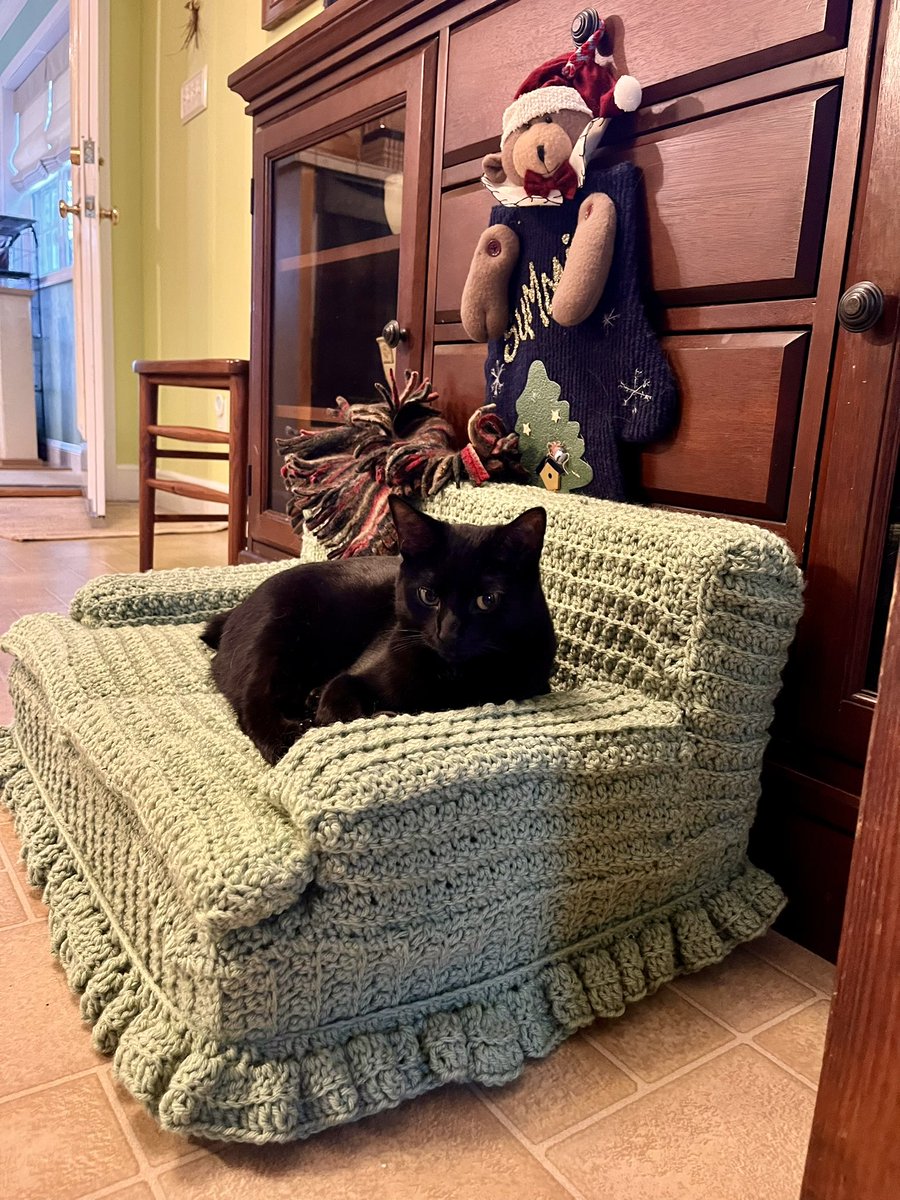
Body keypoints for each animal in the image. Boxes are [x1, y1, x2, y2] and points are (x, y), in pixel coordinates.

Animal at [204, 494, 556, 758]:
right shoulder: (348, 680)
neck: (451, 677)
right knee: (252, 700)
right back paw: (287, 736)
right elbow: (341, 712)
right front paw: (381, 715)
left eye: (487, 600)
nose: (448, 632)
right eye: (428, 595)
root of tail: (236, 609)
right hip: (276, 636)